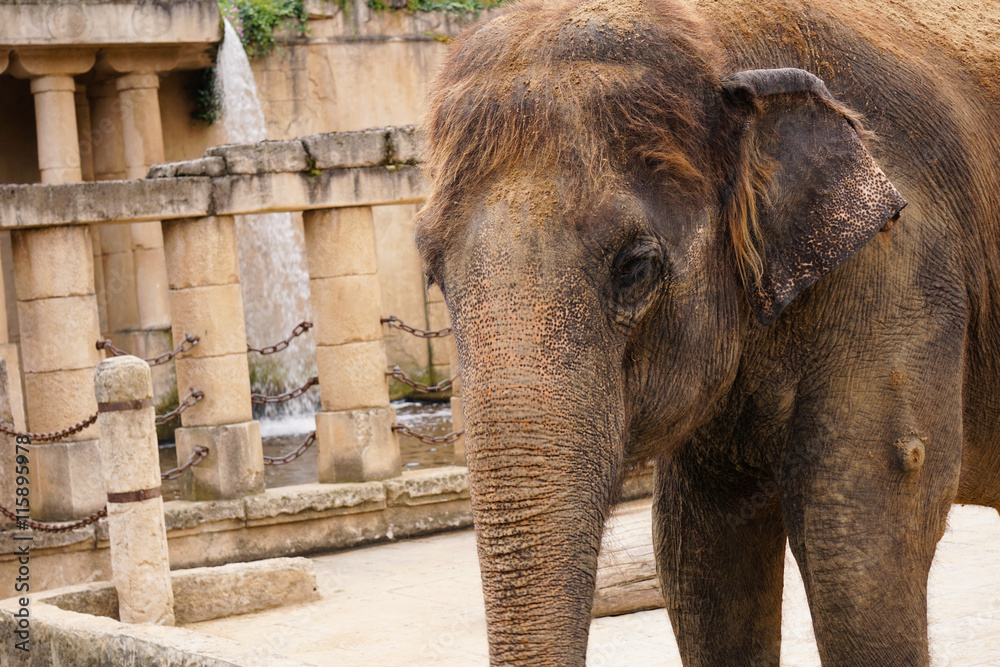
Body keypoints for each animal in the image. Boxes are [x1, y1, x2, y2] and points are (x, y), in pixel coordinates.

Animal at [413, 0, 1000, 664]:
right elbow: (699, 552)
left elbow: (858, 547)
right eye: (432, 272)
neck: (715, 37)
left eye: (636, 267)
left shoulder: (902, 263)